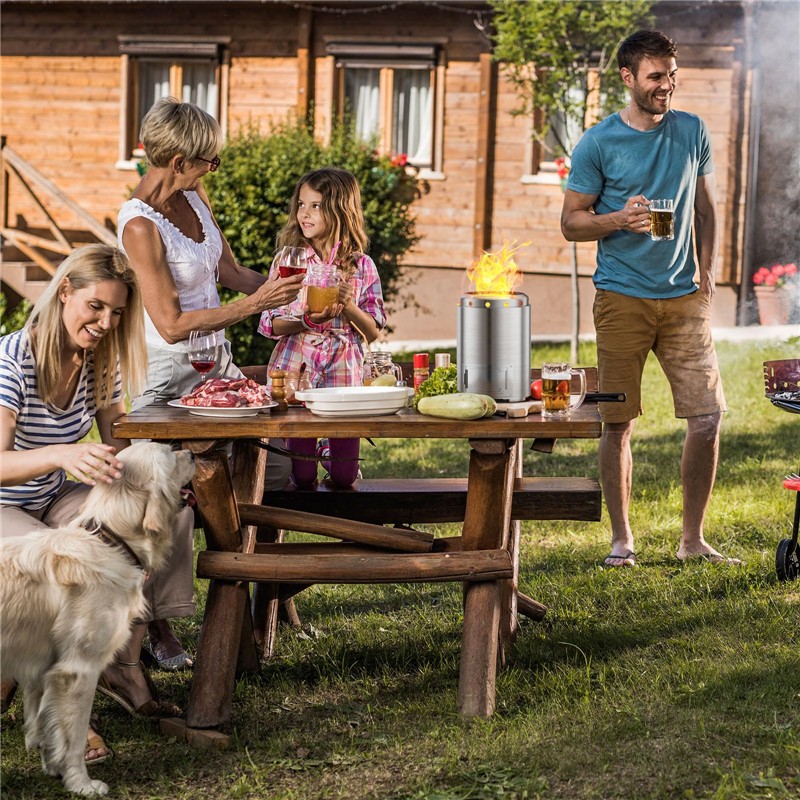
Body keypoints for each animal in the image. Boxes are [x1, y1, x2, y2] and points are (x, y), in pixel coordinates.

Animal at [1, 440, 195, 796]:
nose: (192, 453)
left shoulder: (42, 669)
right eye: (169, 456)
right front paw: (81, 783)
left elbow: (46, 724)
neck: (111, 542)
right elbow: (73, 734)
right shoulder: (79, 669)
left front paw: (54, 769)